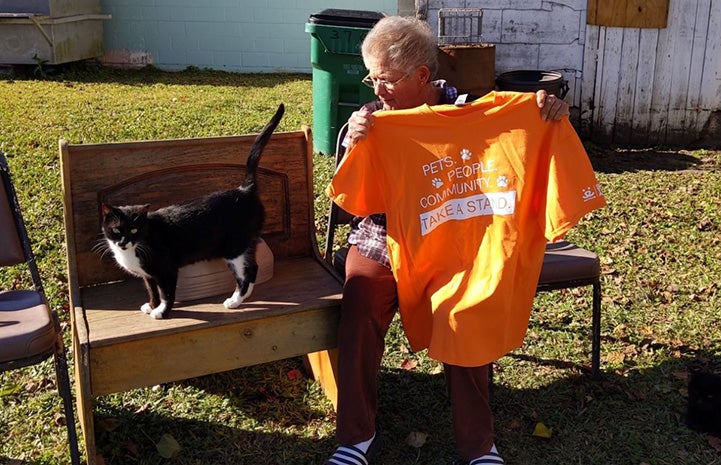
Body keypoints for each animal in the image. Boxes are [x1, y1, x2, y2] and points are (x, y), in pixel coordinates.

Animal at [100, 103, 284, 318]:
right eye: (116, 229)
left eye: (134, 230)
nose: (122, 242)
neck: (137, 247)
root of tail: (244, 190)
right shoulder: (148, 275)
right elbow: (152, 289)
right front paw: (152, 305)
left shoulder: (166, 269)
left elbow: (166, 293)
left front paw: (161, 312)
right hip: (246, 244)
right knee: (253, 267)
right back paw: (242, 297)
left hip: (234, 248)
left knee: (245, 273)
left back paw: (234, 300)